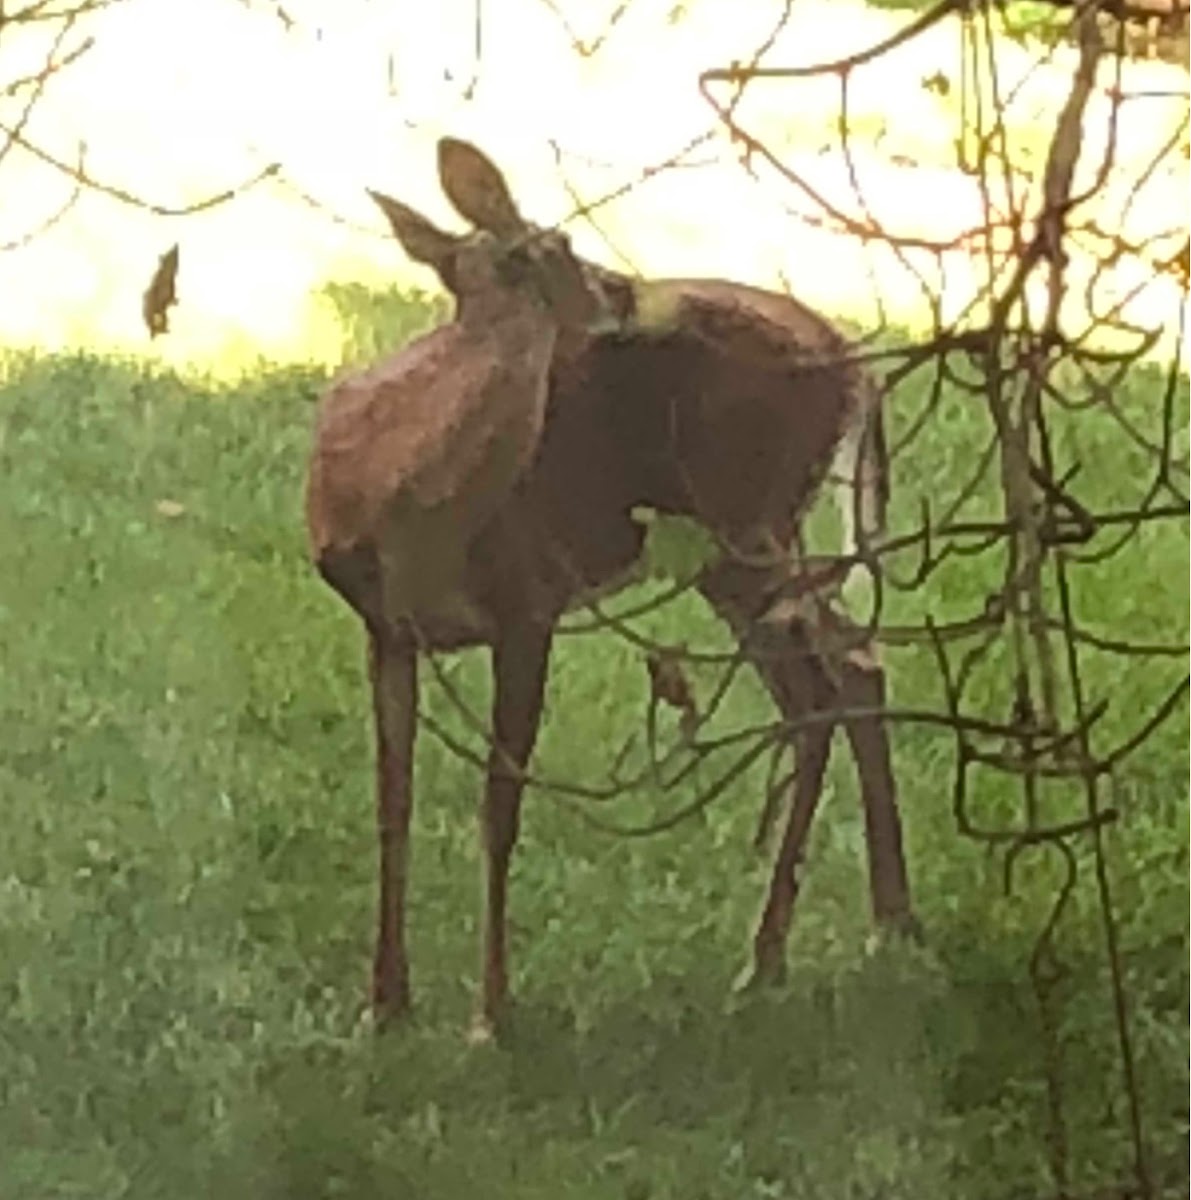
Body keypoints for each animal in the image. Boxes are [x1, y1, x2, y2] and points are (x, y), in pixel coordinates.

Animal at [304, 136, 912, 1041]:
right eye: (557, 245)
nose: (626, 292)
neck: (411, 515)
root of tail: (850, 359)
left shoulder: (529, 603)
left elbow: (500, 807)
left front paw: (491, 1013)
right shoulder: (385, 627)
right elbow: (392, 802)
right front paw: (384, 1003)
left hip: (746, 521)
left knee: (829, 677)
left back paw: (783, 951)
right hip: (736, 547)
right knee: (843, 667)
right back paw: (870, 928)